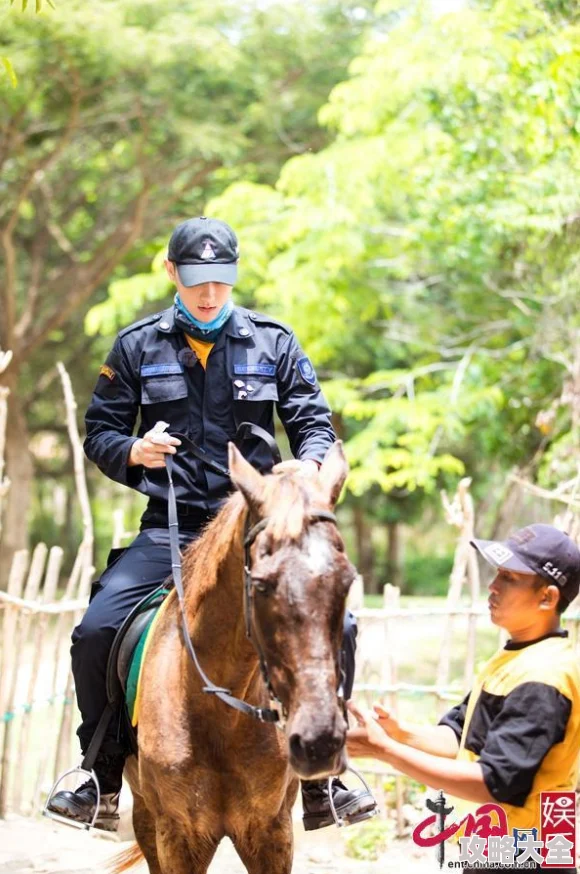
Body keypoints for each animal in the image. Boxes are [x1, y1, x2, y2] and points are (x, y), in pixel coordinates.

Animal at [114, 442, 354, 872]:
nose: (319, 742)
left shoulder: (271, 833)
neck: (217, 714)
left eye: (347, 581)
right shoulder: (177, 837)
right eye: (260, 585)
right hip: (145, 816)